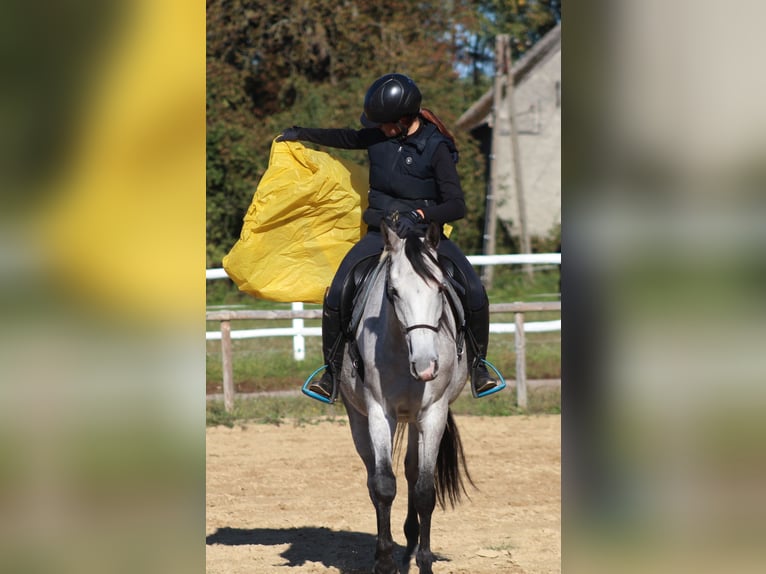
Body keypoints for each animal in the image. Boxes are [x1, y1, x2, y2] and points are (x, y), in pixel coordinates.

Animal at [336, 224, 474, 574]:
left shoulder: (433, 413)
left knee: (412, 470)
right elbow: (384, 486)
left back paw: (410, 545)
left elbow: (425, 490)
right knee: (373, 478)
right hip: (359, 419)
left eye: (441, 289)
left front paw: (424, 561)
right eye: (394, 292)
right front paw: (384, 562)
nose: (425, 365)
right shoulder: (379, 412)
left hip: (414, 419)